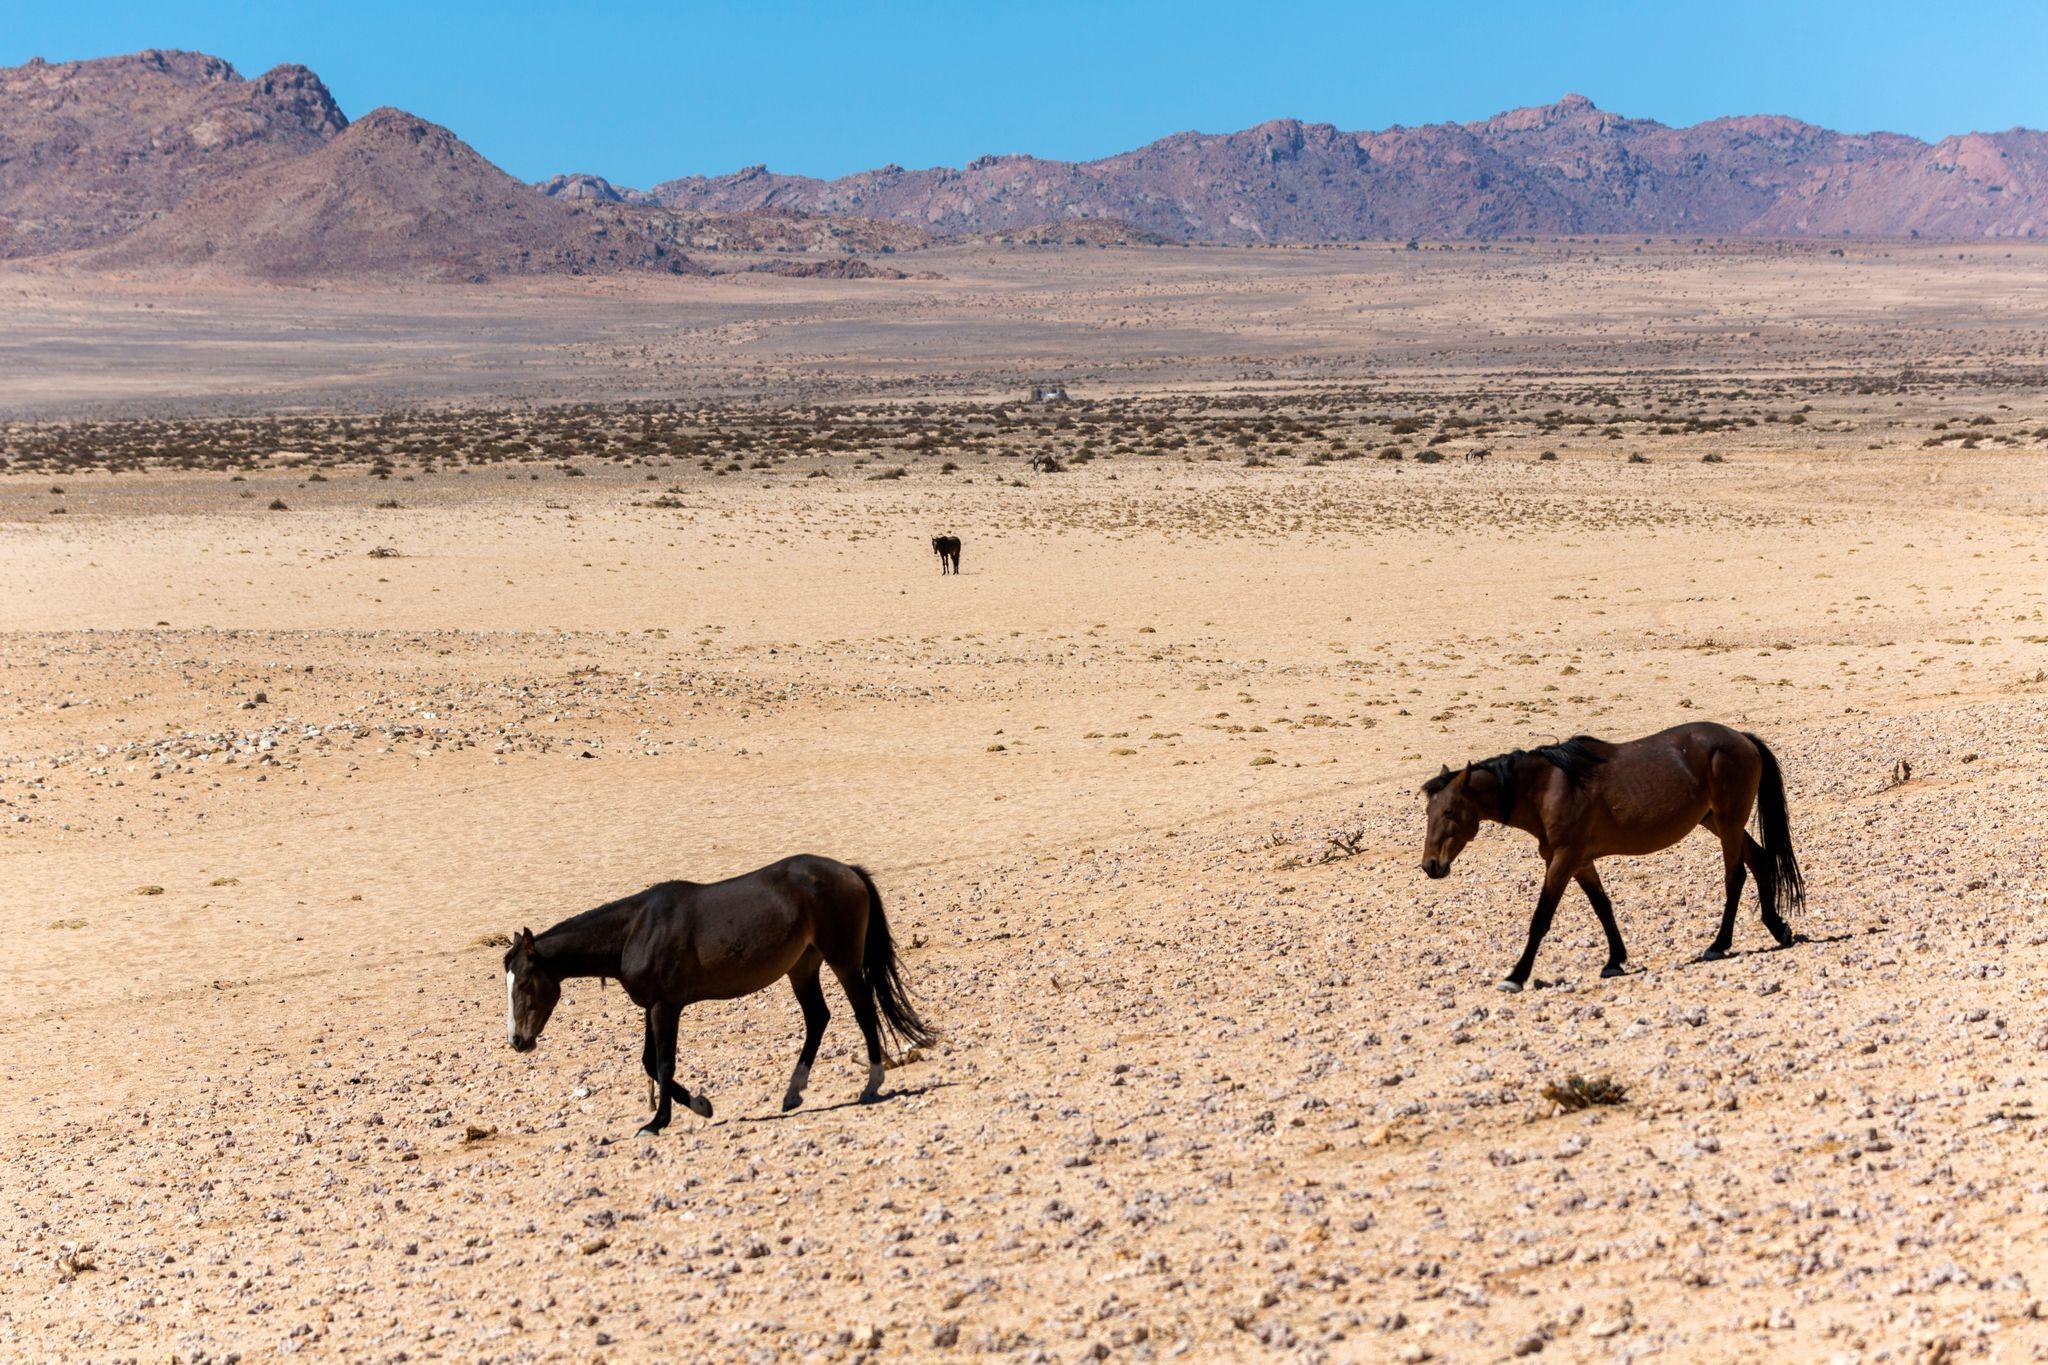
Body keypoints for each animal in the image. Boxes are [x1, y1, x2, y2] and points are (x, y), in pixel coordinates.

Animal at [505, 859, 937, 1137]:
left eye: (525, 982)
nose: (518, 1041)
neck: (636, 931)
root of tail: (850, 872)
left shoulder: (666, 1007)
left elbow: (663, 1064)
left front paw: (657, 1123)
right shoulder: (651, 1007)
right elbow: (649, 1063)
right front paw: (701, 1105)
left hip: (843, 960)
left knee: (863, 1011)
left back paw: (871, 1085)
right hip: (803, 967)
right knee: (818, 1018)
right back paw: (793, 1093)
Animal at [1425, 724, 1810, 994]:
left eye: (1449, 811)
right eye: (1428, 812)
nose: (1430, 865)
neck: (1547, 787)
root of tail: (1742, 739)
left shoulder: (1563, 860)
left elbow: (1541, 918)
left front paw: (1516, 976)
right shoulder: (1580, 862)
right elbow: (1603, 907)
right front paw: (1614, 960)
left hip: (1728, 822)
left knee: (1736, 877)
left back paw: (1719, 945)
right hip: (1715, 820)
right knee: (1760, 860)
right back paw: (1778, 928)